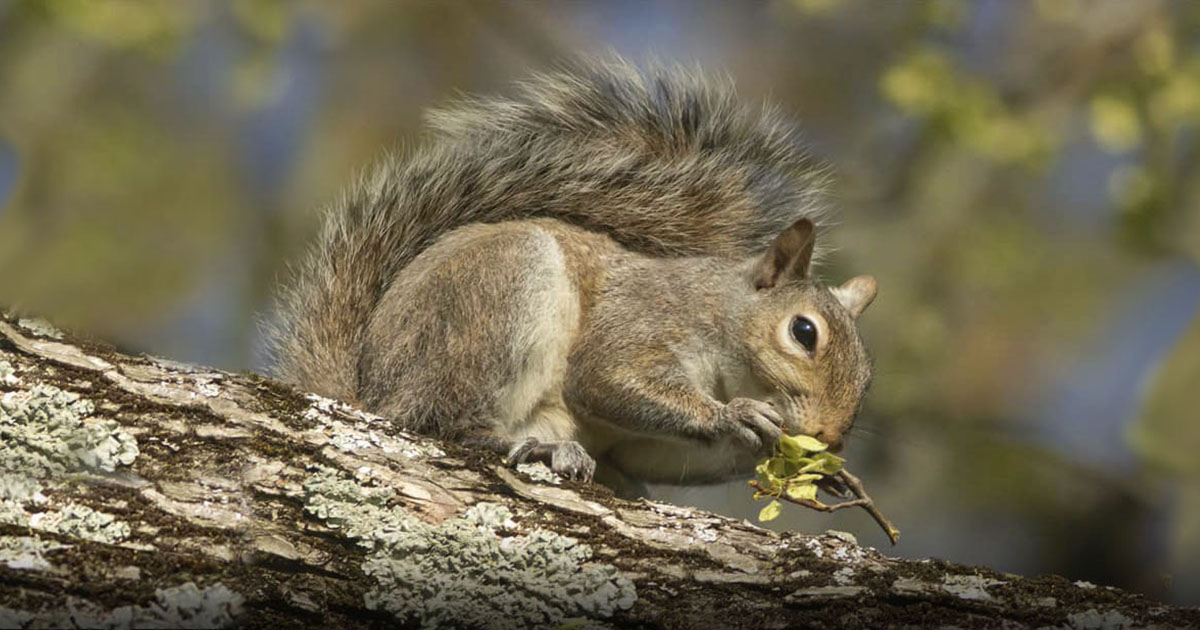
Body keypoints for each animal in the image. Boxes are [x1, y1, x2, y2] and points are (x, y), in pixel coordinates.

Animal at [267, 57, 878, 487]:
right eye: (804, 332)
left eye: (868, 376)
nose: (828, 436)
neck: (719, 312)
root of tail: (371, 393)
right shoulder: (645, 319)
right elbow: (605, 377)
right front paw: (733, 416)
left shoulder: (645, 449)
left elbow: (655, 453)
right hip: (497, 295)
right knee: (442, 422)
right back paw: (531, 446)